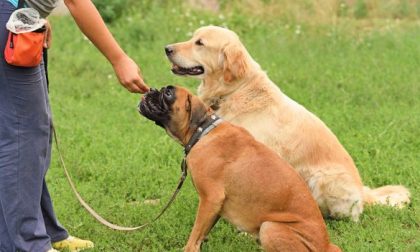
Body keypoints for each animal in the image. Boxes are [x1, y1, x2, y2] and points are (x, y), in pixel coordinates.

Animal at [139, 85, 340, 251]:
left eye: (168, 93)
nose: (151, 90)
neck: (203, 131)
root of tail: (325, 245)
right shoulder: (215, 206)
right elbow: (201, 234)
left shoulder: (210, 198)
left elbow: (194, 235)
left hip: (270, 227)